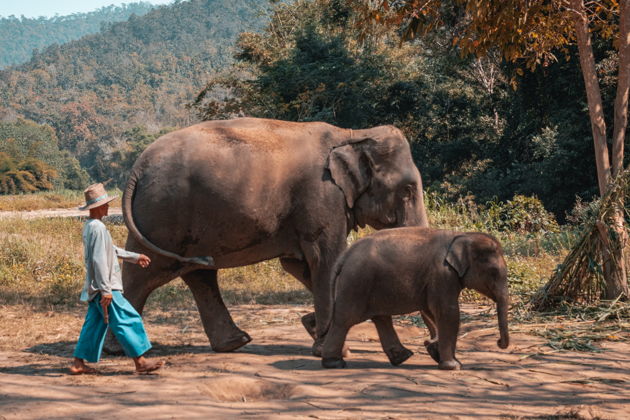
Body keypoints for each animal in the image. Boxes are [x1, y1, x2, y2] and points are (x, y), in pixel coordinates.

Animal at [119, 118, 430, 354]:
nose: (429, 347)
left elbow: (300, 265)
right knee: (145, 273)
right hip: (163, 215)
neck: (351, 134)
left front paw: (314, 328)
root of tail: (137, 168)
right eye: (407, 190)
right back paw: (121, 349)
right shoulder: (322, 197)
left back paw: (235, 343)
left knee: (198, 274)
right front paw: (330, 347)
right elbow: (326, 260)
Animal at [324, 228, 512, 370]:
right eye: (494, 273)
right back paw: (334, 363)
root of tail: (345, 256)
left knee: (381, 318)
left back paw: (402, 358)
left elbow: (432, 311)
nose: (498, 342)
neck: (462, 235)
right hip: (356, 284)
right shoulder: (442, 274)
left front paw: (435, 350)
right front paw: (453, 366)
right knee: (345, 320)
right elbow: (448, 312)